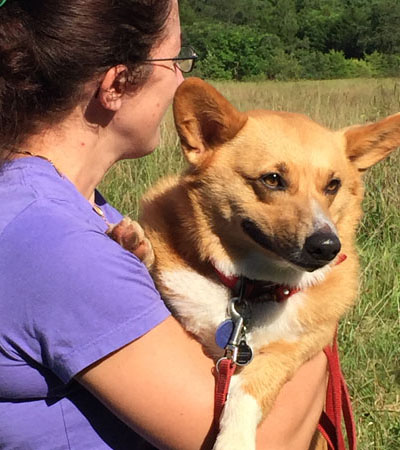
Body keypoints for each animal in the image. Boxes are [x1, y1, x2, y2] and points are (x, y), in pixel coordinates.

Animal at [109, 78, 400, 450]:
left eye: (333, 185)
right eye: (273, 179)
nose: (327, 247)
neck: (251, 287)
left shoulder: (295, 350)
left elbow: (249, 387)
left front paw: (233, 440)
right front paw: (134, 245)